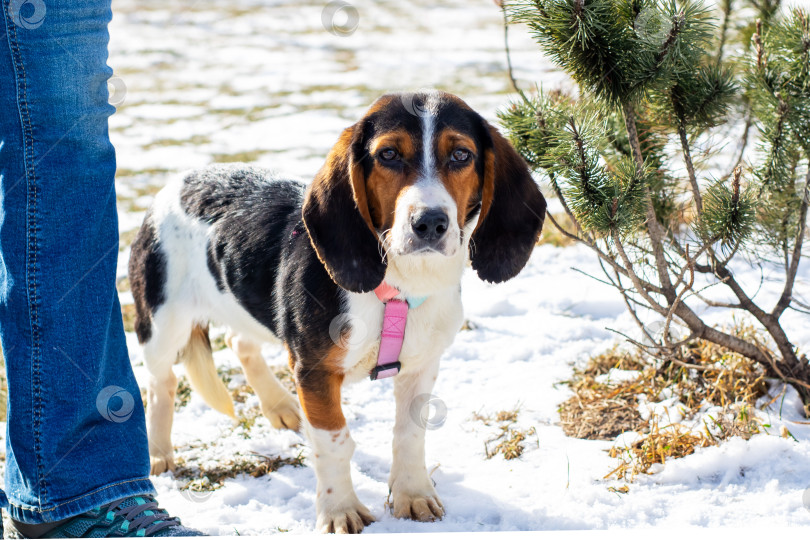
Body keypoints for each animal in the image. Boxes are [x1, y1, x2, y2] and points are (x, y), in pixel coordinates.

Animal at [129, 88, 548, 532]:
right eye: (388, 155)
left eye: (461, 155)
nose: (430, 223)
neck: (401, 284)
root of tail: (175, 184)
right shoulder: (314, 372)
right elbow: (335, 442)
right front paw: (340, 510)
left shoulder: (421, 366)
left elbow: (409, 435)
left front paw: (413, 494)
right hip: (162, 324)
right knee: (161, 383)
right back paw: (158, 451)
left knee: (240, 342)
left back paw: (281, 408)